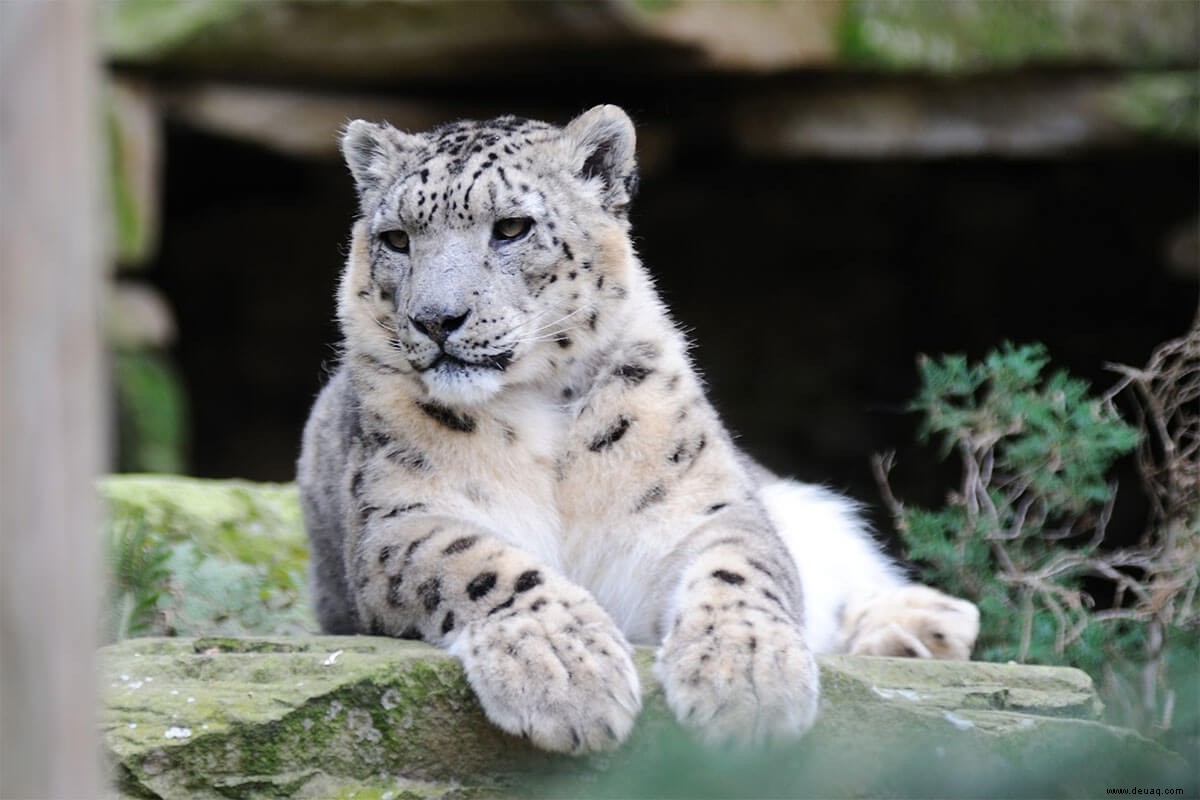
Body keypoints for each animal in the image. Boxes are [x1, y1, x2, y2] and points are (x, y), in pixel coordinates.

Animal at [297, 103, 974, 753]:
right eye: (396, 239)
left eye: (512, 227)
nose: (436, 319)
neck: (539, 410)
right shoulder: (398, 520)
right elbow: (475, 561)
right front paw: (564, 671)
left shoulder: (699, 505)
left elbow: (739, 566)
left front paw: (746, 675)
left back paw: (928, 624)